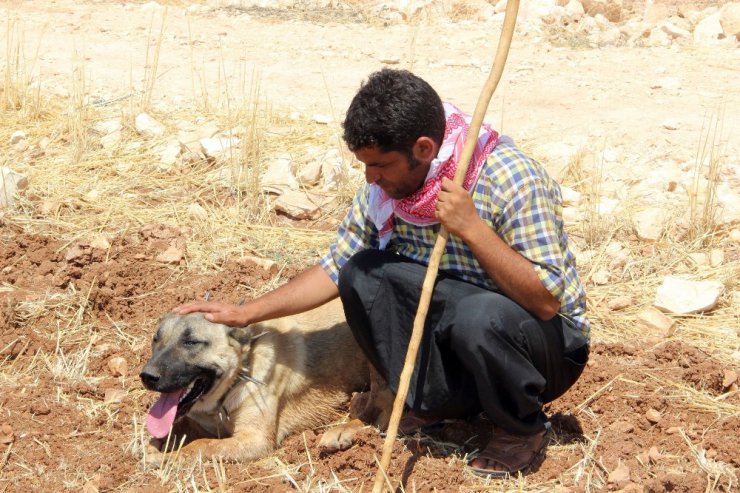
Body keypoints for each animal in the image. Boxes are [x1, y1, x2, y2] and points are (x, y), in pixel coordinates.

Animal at [139, 298, 370, 464]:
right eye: (156, 339)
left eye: (191, 342)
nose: (146, 377)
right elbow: (173, 429)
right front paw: (152, 444)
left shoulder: (254, 439)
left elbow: (202, 445)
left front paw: (164, 457)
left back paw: (341, 431)